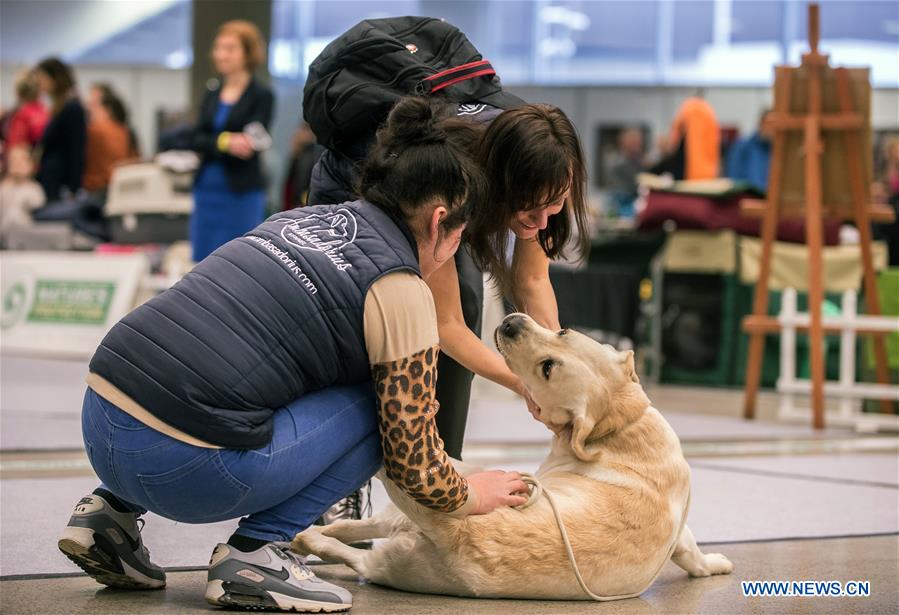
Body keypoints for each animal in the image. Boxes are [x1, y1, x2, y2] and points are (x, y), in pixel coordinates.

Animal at [294, 316, 732, 600]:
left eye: (547, 368)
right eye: (563, 330)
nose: (510, 324)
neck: (622, 423)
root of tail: (457, 533)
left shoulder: (681, 533)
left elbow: (693, 555)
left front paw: (714, 563)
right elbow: (692, 553)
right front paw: (716, 563)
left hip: (396, 550)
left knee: (348, 544)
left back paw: (306, 539)